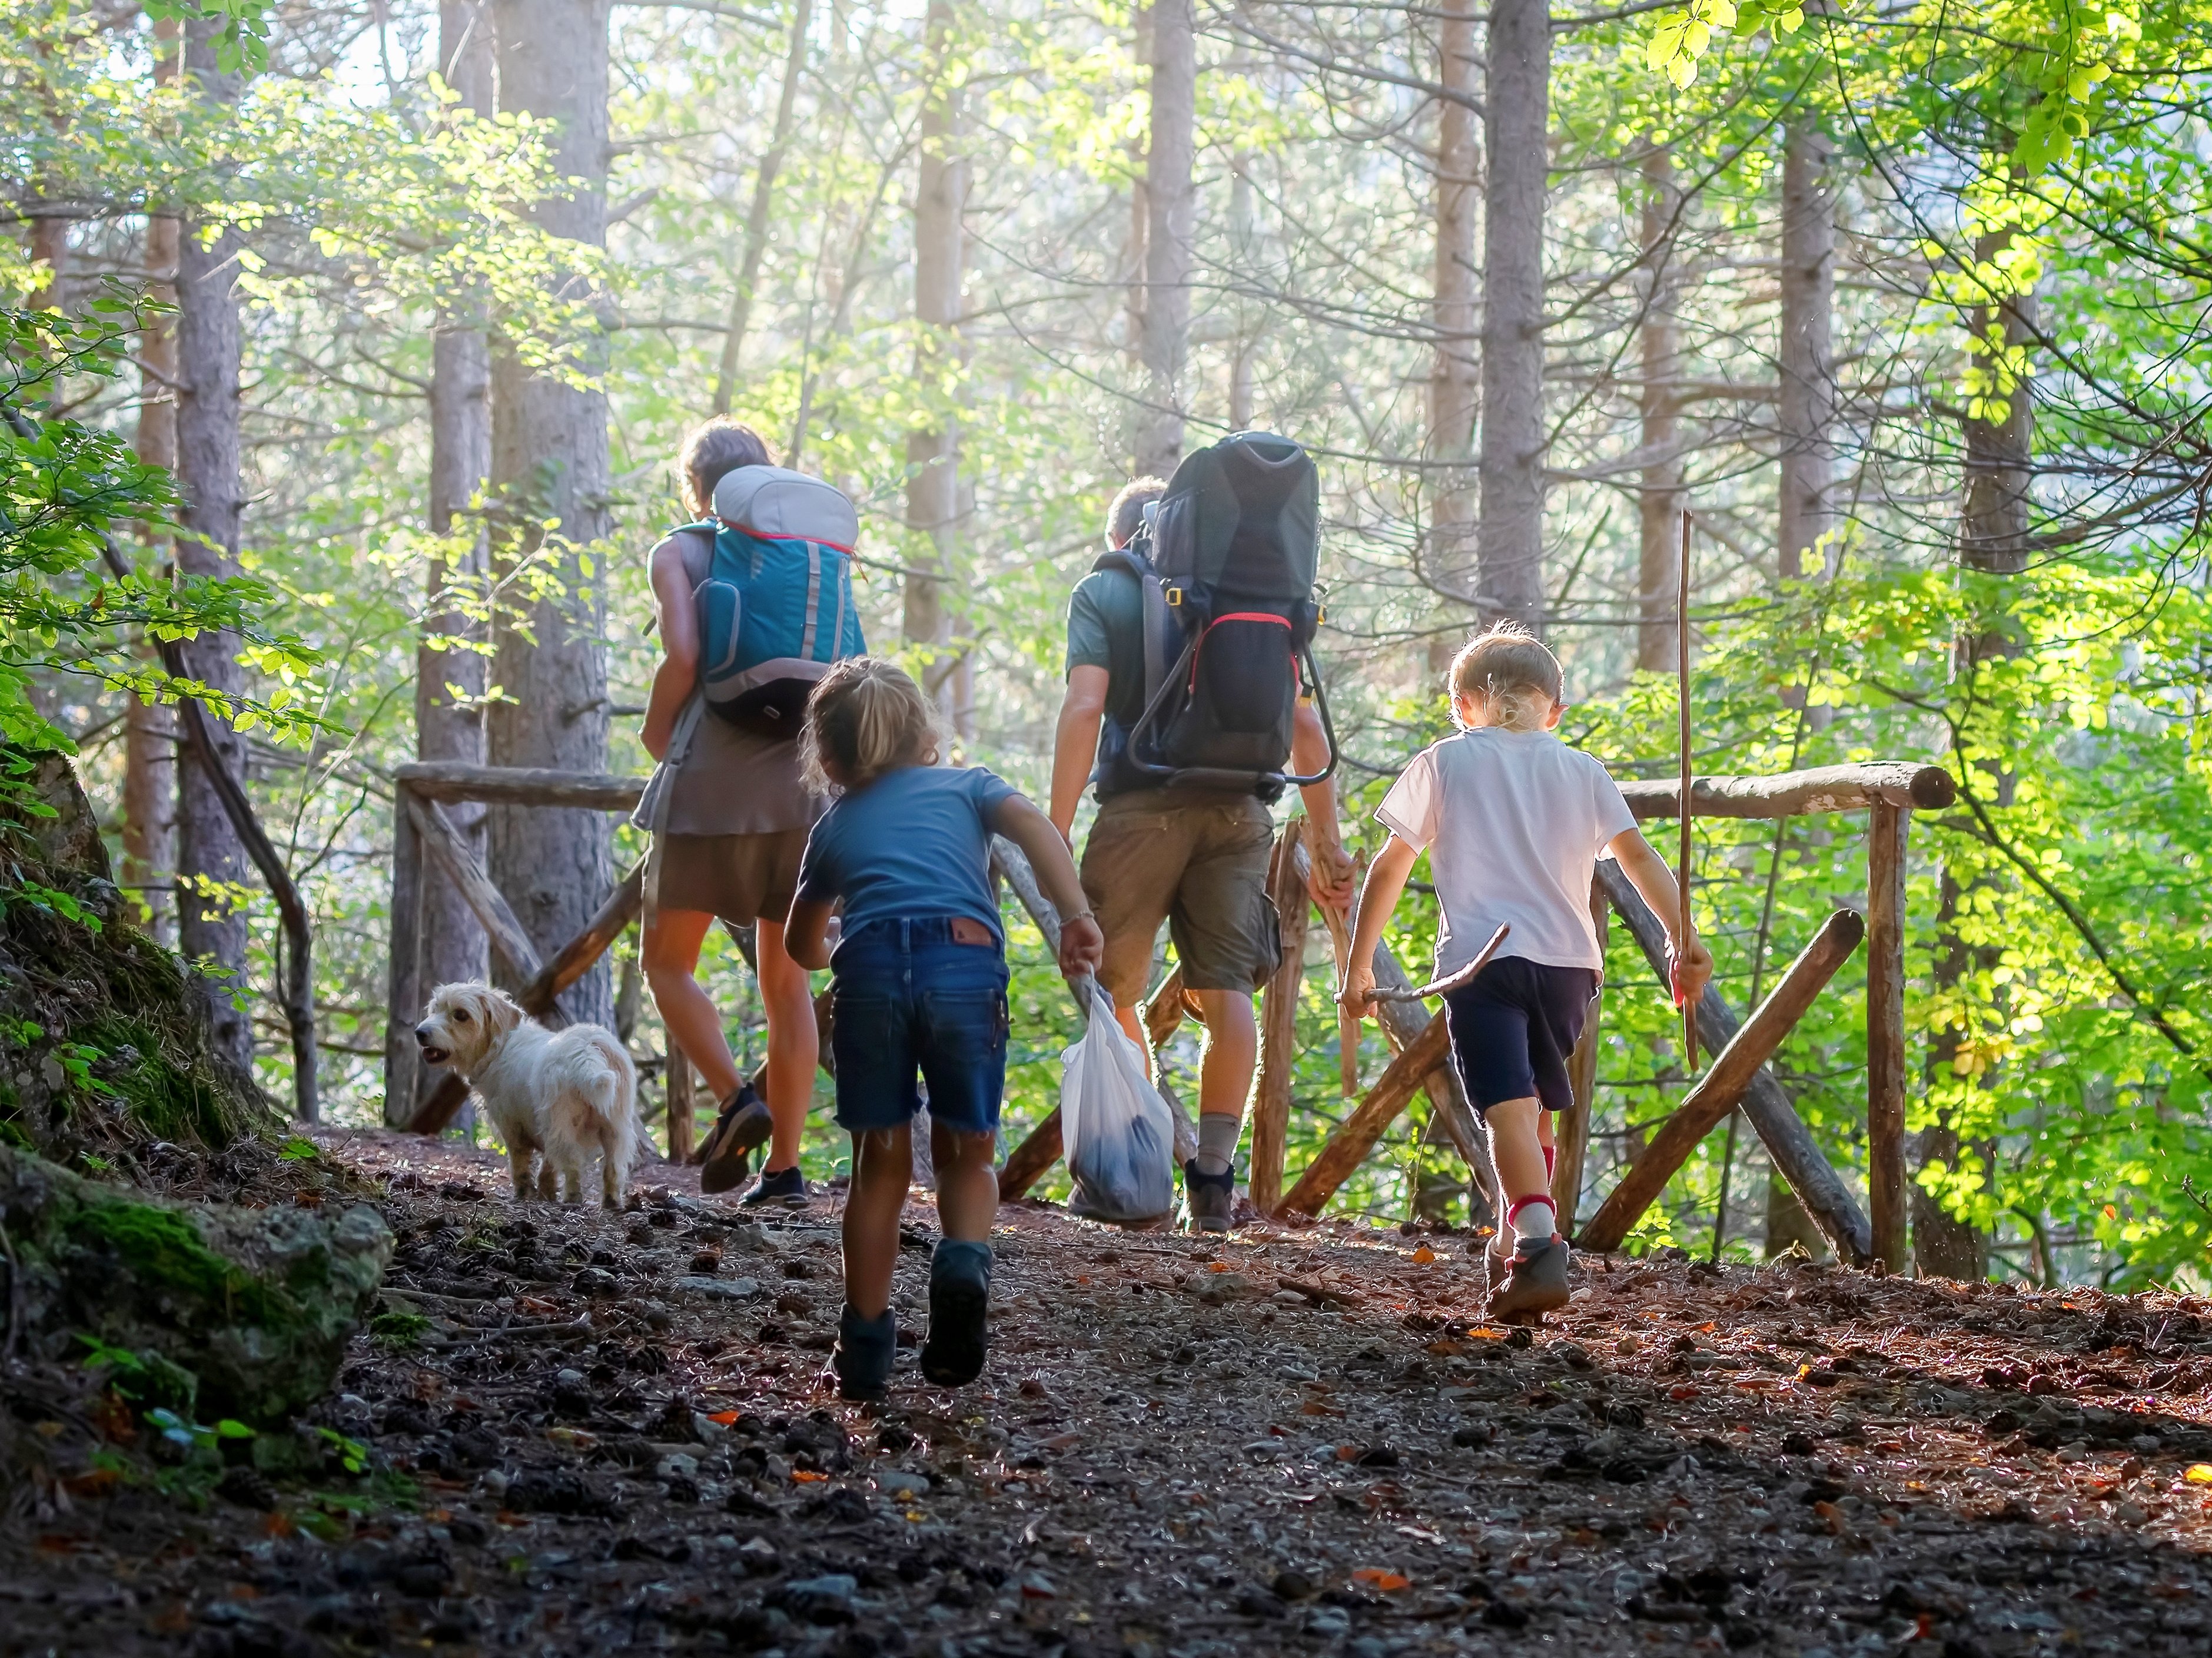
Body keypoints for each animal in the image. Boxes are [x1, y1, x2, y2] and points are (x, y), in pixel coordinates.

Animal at [416, 983, 641, 1204]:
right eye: (435, 1009)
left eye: (461, 1015)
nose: (420, 1033)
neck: (500, 1046)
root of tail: (587, 1051)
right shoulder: (543, 1130)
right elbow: (548, 1167)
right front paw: (545, 1194)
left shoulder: (512, 1127)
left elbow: (520, 1165)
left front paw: (524, 1194)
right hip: (615, 1131)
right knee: (612, 1170)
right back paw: (611, 1203)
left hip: (564, 1128)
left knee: (573, 1167)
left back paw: (572, 1200)